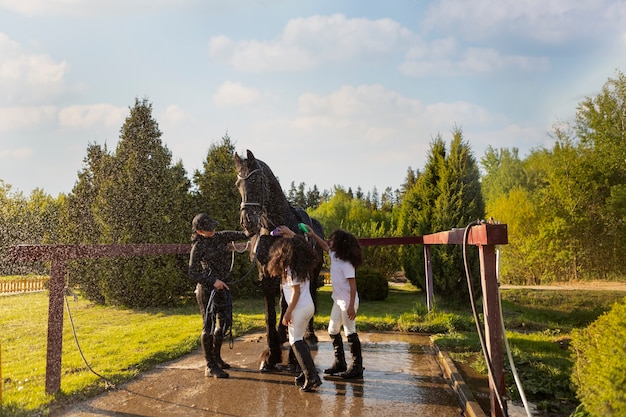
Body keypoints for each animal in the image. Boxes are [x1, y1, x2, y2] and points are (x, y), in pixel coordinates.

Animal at [233, 149, 324, 370]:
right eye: (238, 183)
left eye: (256, 181)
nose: (247, 221)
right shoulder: (266, 278)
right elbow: (270, 313)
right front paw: (271, 355)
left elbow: (286, 308)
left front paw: (292, 357)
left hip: (313, 273)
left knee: (309, 298)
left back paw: (309, 335)